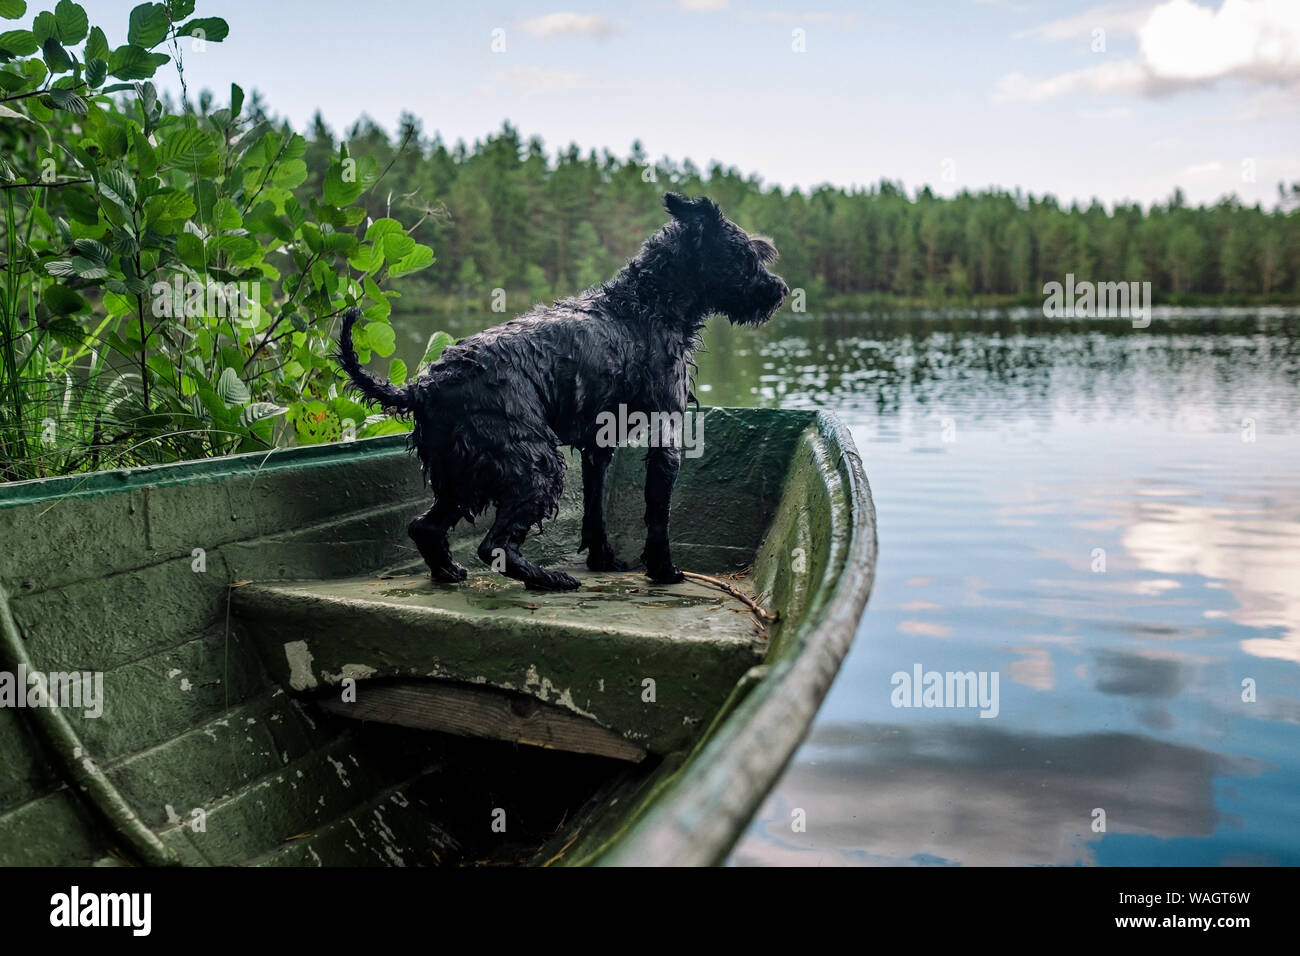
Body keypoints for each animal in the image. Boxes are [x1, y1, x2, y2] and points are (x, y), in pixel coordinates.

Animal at [335, 193, 785, 590]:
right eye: (747, 255)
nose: (780, 290)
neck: (646, 303)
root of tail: (423, 386)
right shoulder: (666, 431)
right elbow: (658, 514)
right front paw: (663, 570)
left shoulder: (598, 446)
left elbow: (595, 510)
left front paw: (603, 559)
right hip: (533, 462)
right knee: (494, 545)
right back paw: (548, 579)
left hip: (461, 472)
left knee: (425, 527)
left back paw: (449, 570)